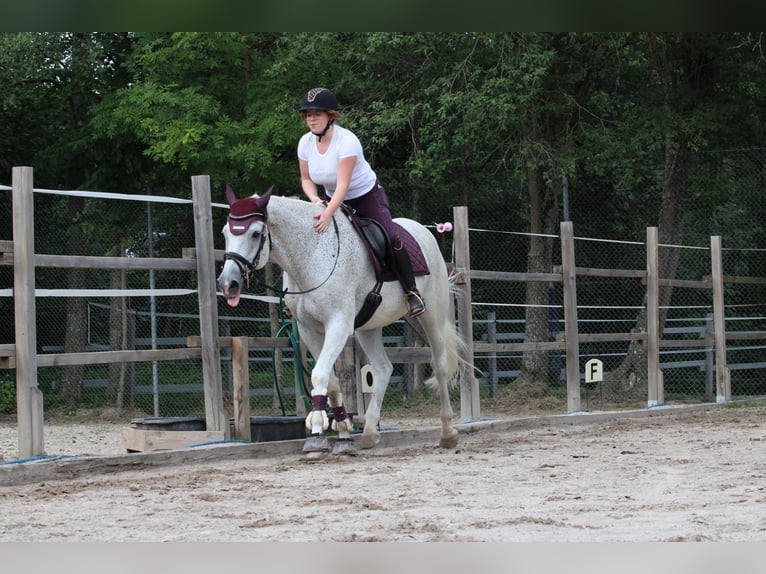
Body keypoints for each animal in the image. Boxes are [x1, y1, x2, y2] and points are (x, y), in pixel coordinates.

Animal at [219, 187, 464, 462]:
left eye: (255, 233)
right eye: (225, 233)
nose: (228, 283)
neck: (311, 254)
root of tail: (423, 231)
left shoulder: (338, 324)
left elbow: (319, 375)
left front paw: (316, 436)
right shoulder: (309, 330)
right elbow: (331, 381)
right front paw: (343, 435)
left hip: (431, 315)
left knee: (440, 366)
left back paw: (447, 433)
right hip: (369, 327)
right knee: (383, 368)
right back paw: (370, 432)